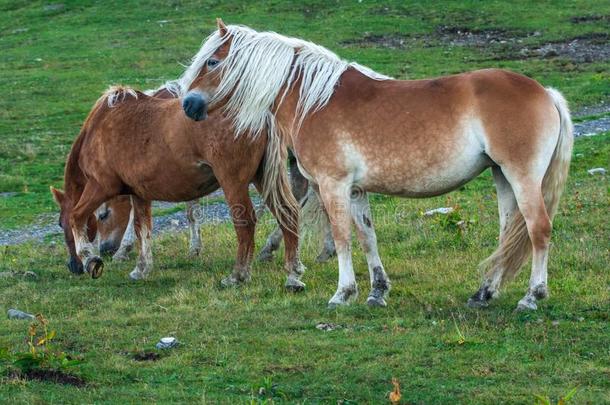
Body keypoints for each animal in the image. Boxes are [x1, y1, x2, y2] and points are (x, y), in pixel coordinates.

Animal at [49, 83, 304, 288]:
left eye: (62, 224)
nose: (73, 266)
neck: (99, 126)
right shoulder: (139, 194)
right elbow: (142, 229)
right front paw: (141, 269)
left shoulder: (100, 186)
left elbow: (78, 216)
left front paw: (90, 259)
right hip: (264, 179)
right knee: (288, 213)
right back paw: (293, 274)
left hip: (234, 183)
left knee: (246, 224)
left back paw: (238, 275)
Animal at [176, 19, 568, 310]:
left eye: (212, 61)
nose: (188, 106)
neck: (314, 100)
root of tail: (545, 92)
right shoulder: (356, 190)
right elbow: (367, 238)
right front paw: (377, 291)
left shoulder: (333, 185)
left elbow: (342, 237)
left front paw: (342, 293)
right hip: (502, 177)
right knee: (508, 235)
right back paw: (485, 292)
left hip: (521, 177)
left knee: (538, 229)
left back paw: (532, 296)